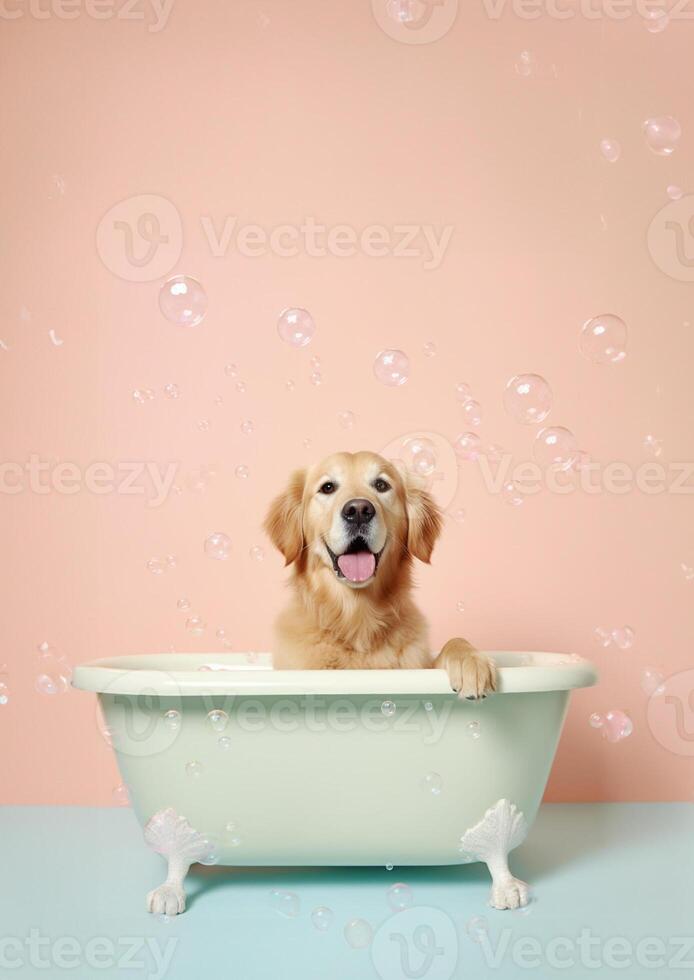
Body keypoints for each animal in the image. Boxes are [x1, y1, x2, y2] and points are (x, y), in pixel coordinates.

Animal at [264, 452, 498, 696]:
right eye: (327, 487)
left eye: (381, 485)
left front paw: (471, 660)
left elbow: (454, 641)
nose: (358, 510)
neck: (357, 618)